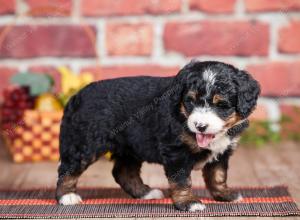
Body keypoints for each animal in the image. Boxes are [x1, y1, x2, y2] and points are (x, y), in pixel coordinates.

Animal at [56, 60, 260, 211]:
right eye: (190, 101)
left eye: (221, 105)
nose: (200, 126)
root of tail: (76, 96)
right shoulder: (176, 151)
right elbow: (182, 180)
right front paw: (188, 202)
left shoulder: (222, 152)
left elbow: (218, 176)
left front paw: (225, 195)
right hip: (84, 143)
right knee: (67, 169)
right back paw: (67, 196)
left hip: (130, 147)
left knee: (123, 171)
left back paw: (145, 193)